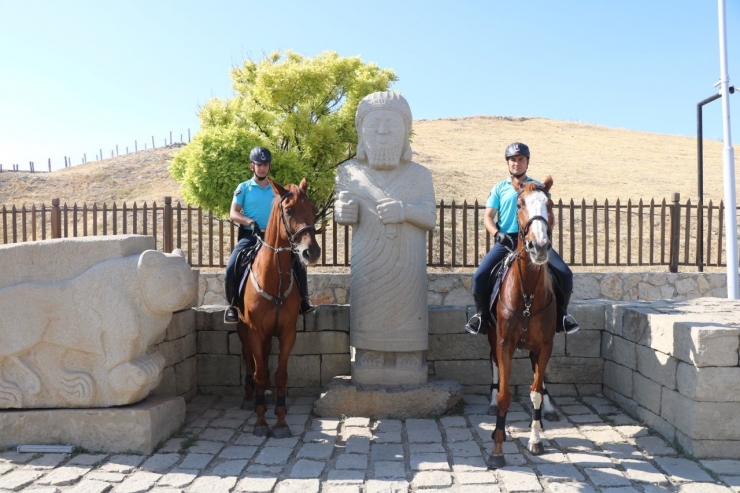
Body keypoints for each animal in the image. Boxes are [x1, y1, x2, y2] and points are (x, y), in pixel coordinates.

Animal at [236, 178, 320, 438]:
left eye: (313, 208)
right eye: (289, 210)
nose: (312, 252)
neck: (274, 277)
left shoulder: (287, 332)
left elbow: (281, 374)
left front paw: (281, 421)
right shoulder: (254, 331)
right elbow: (259, 372)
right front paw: (261, 421)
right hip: (242, 328)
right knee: (249, 359)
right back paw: (249, 398)